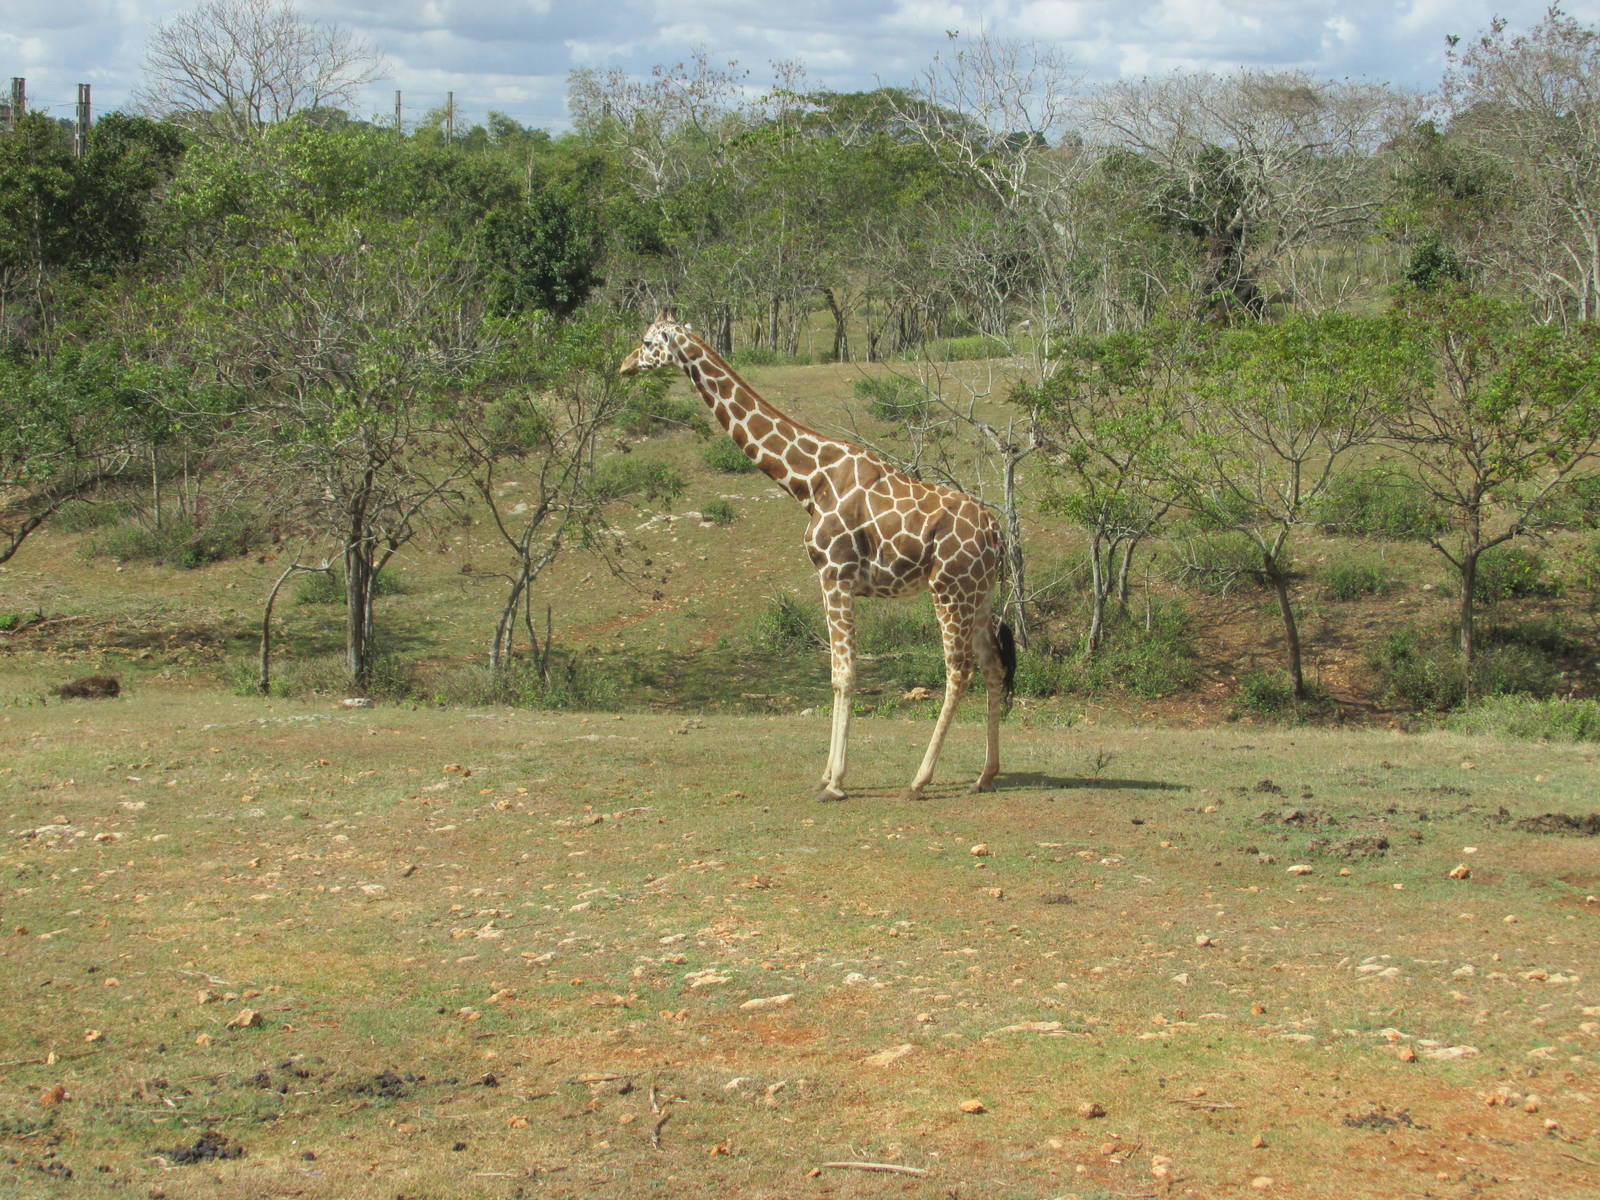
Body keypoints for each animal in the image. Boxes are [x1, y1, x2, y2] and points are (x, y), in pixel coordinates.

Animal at [620, 311, 1015, 803]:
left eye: (646, 341)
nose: (624, 366)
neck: (809, 480)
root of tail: (997, 534)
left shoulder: (835, 575)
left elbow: (843, 675)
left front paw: (836, 782)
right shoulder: (834, 580)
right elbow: (835, 674)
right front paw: (825, 775)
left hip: (949, 590)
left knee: (958, 672)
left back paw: (919, 780)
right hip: (979, 594)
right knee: (993, 666)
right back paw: (986, 774)